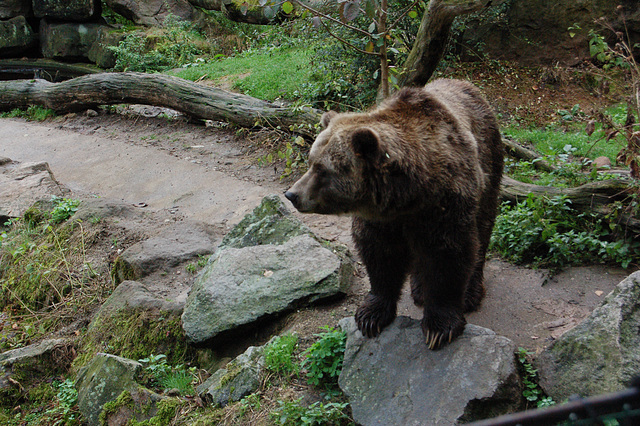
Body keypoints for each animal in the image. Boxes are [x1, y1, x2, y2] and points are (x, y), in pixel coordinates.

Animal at [284, 80, 504, 350]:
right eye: (310, 161)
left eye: (322, 170)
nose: (292, 194)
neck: (407, 195)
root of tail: (469, 87)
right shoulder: (381, 219)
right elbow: (379, 255)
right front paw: (370, 315)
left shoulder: (446, 204)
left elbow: (448, 255)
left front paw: (439, 327)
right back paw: (419, 288)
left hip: (488, 160)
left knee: (483, 227)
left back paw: (471, 292)